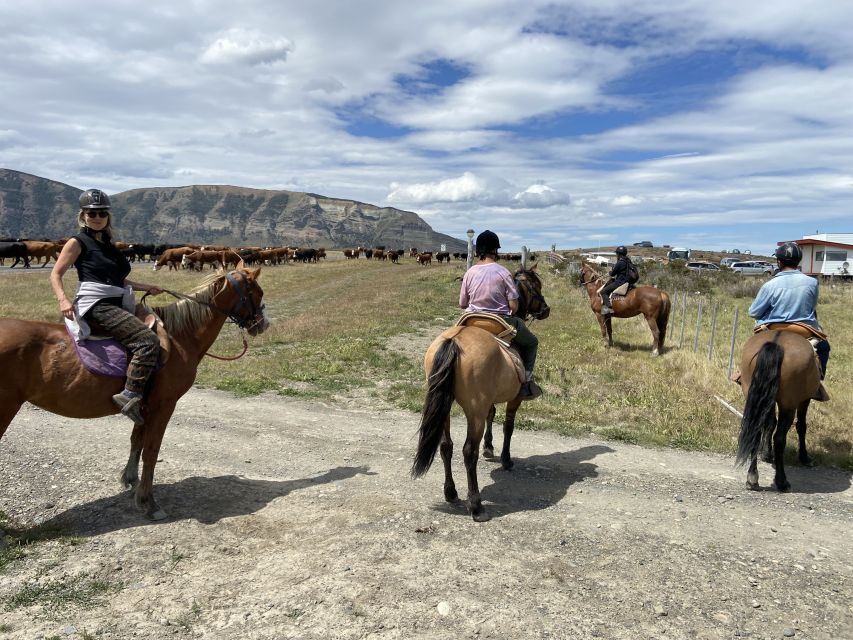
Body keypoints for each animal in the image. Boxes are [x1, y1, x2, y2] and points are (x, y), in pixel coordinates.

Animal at [0, 264, 268, 520]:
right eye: (258, 292)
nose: (263, 324)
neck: (180, 338)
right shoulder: (164, 405)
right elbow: (151, 450)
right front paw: (148, 502)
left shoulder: (144, 406)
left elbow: (136, 441)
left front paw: (131, 481)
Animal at [412, 264, 552, 520]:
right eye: (536, 286)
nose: (546, 309)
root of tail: (454, 341)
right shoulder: (514, 399)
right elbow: (508, 426)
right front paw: (505, 460)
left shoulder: (489, 400)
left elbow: (492, 415)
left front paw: (489, 447)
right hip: (473, 410)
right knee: (468, 451)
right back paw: (475, 504)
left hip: (444, 406)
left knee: (446, 446)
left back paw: (451, 493)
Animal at [736, 330, 824, 490]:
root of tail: (776, 343)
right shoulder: (804, 400)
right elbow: (801, 426)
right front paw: (804, 457)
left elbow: (770, 424)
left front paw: (766, 454)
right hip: (788, 405)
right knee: (780, 438)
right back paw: (781, 481)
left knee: (756, 433)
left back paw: (752, 477)